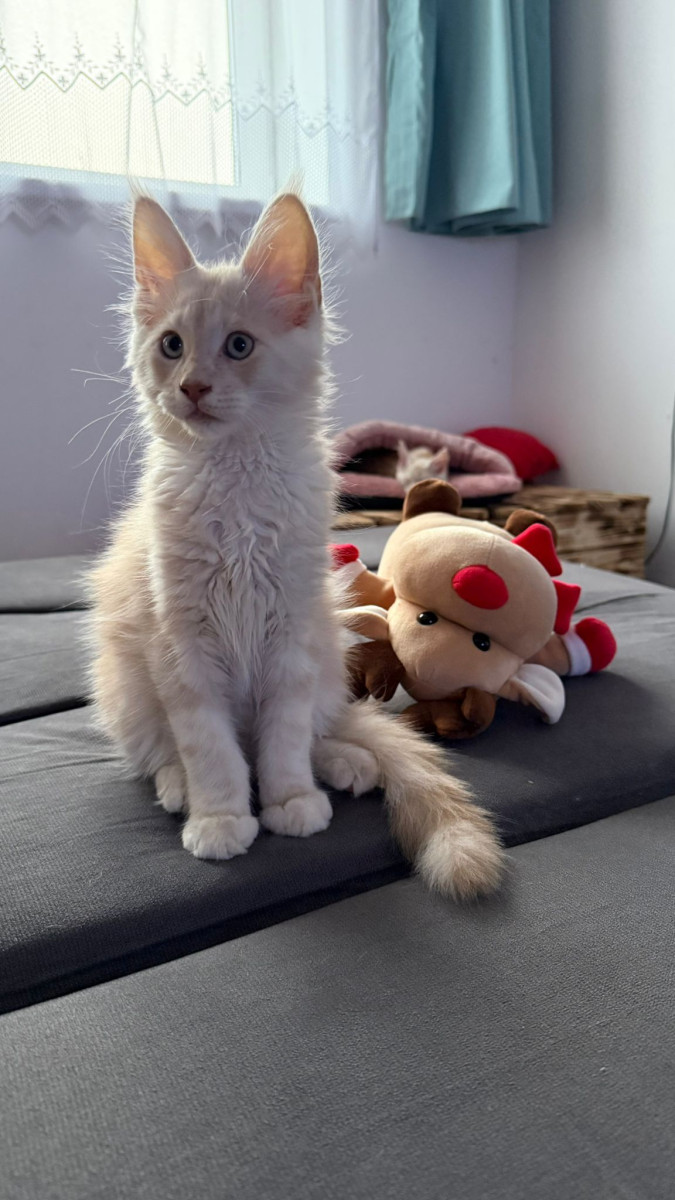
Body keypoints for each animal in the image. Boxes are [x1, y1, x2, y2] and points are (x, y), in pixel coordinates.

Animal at [86, 192, 502, 899]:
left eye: (239, 345)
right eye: (171, 346)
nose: (191, 387)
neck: (235, 480)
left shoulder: (290, 632)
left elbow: (282, 737)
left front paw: (290, 802)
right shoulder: (180, 642)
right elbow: (209, 746)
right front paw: (221, 817)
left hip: (329, 649)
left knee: (315, 728)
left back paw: (343, 763)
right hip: (125, 685)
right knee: (162, 752)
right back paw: (179, 788)